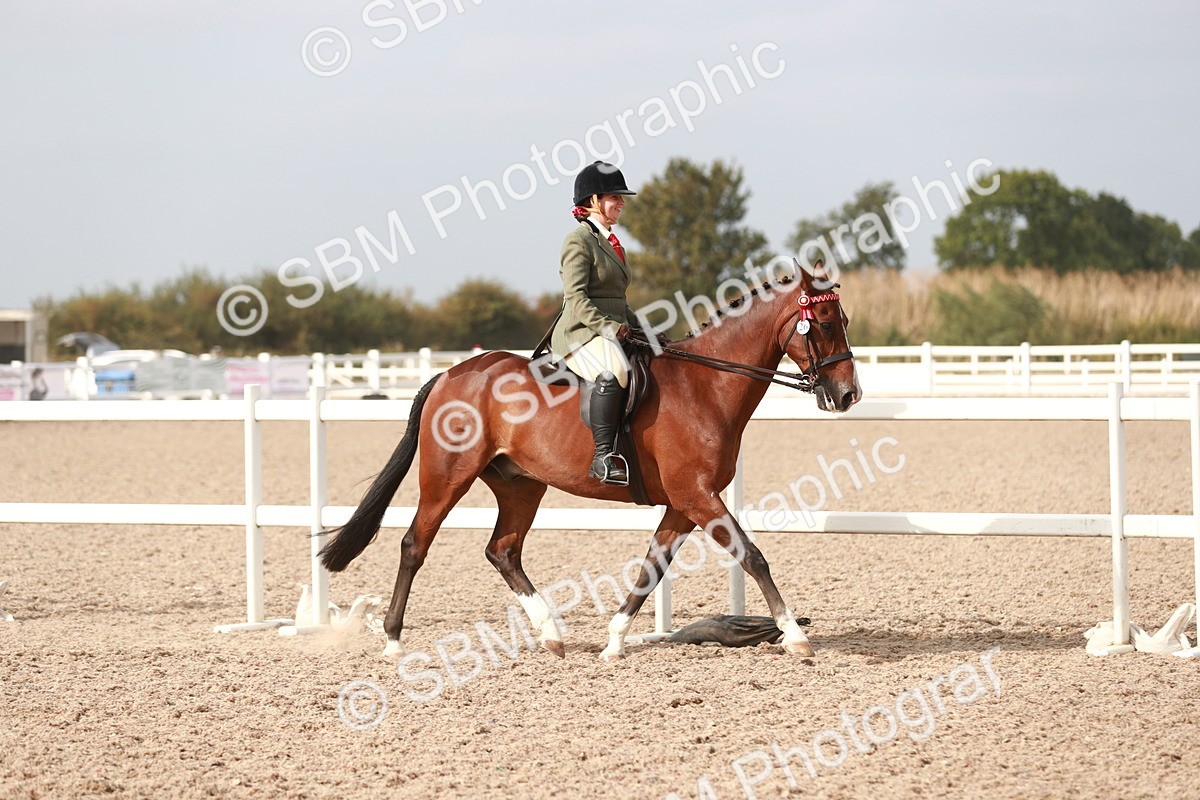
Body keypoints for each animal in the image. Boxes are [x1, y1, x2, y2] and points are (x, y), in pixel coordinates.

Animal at [319, 261, 860, 661]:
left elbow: (650, 569)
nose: (848, 395)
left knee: (503, 551)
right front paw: (796, 636)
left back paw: (551, 635)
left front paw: (615, 641)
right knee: (415, 545)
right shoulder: (697, 495)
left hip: (521, 484)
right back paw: (393, 641)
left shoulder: (684, 503)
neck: (705, 386)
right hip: (448, 476)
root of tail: (450, 375)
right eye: (825, 325)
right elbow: (753, 555)